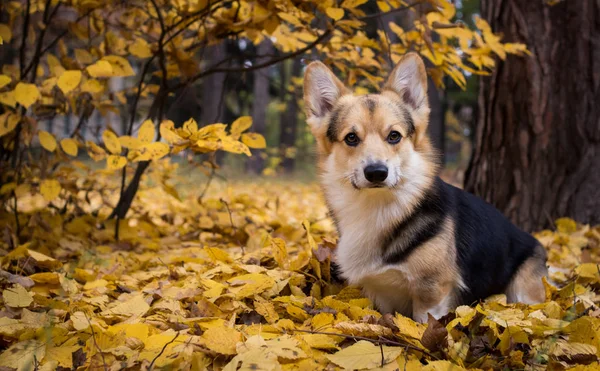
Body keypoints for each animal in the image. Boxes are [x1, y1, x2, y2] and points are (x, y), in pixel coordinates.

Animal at [304, 52, 548, 322]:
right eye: (351, 138)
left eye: (394, 136)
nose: (377, 172)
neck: (378, 208)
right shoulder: (380, 293)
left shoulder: (432, 291)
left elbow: (425, 323)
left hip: (523, 289)